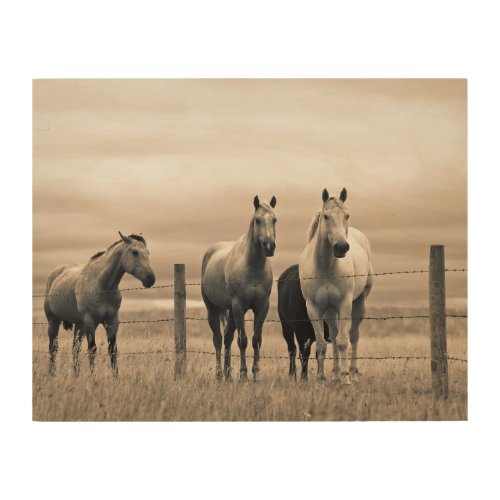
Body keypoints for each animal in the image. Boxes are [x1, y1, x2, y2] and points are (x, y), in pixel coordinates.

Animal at [44, 232, 155, 376]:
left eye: (147, 252)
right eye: (135, 252)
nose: (151, 278)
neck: (102, 286)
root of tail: (55, 273)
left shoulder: (112, 321)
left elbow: (112, 350)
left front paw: (116, 376)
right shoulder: (90, 322)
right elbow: (92, 349)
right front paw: (93, 376)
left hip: (79, 325)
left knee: (75, 348)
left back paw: (76, 375)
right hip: (54, 321)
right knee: (53, 348)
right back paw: (52, 374)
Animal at [200, 194, 278, 378]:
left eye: (274, 220)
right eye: (257, 220)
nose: (269, 246)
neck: (252, 267)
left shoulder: (262, 307)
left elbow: (256, 340)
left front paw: (255, 373)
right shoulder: (239, 306)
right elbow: (242, 341)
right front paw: (243, 373)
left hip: (231, 312)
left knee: (228, 337)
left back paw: (228, 374)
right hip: (214, 309)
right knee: (218, 339)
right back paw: (219, 374)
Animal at [298, 189, 374, 384]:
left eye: (347, 215)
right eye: (326, 216)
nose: (341, 247)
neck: (325, 268)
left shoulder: (345, 304)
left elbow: (343, 342)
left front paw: (346, 379)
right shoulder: (314, 308)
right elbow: (322, 344)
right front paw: (321, 378)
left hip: (359, 303)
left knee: (353, 336)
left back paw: (352, 372)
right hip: (330, 310)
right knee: (333, 333)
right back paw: (335, 373)